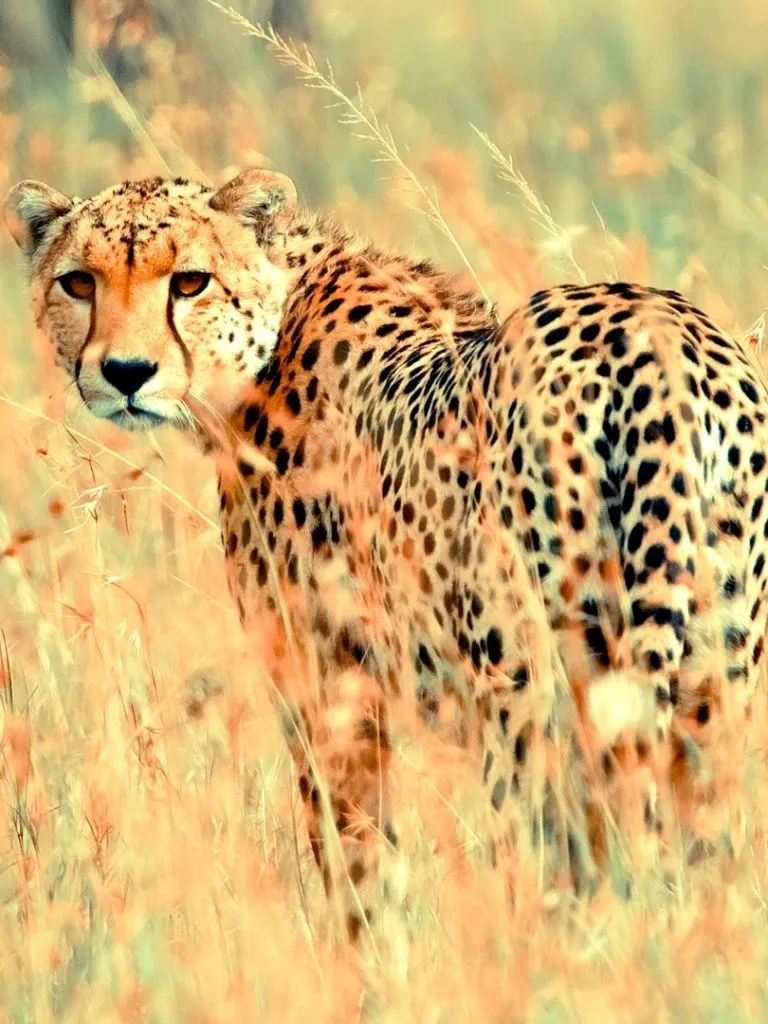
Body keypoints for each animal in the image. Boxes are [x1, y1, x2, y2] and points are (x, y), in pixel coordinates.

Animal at [5, 168, 768, 940]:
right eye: (79, 282)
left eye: (190, 282)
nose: (126, 372)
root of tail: (654, 331)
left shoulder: (327, 683)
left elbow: (355, 860)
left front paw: (365, 959)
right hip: (716, 675)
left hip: (528, 685)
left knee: (565, 851)